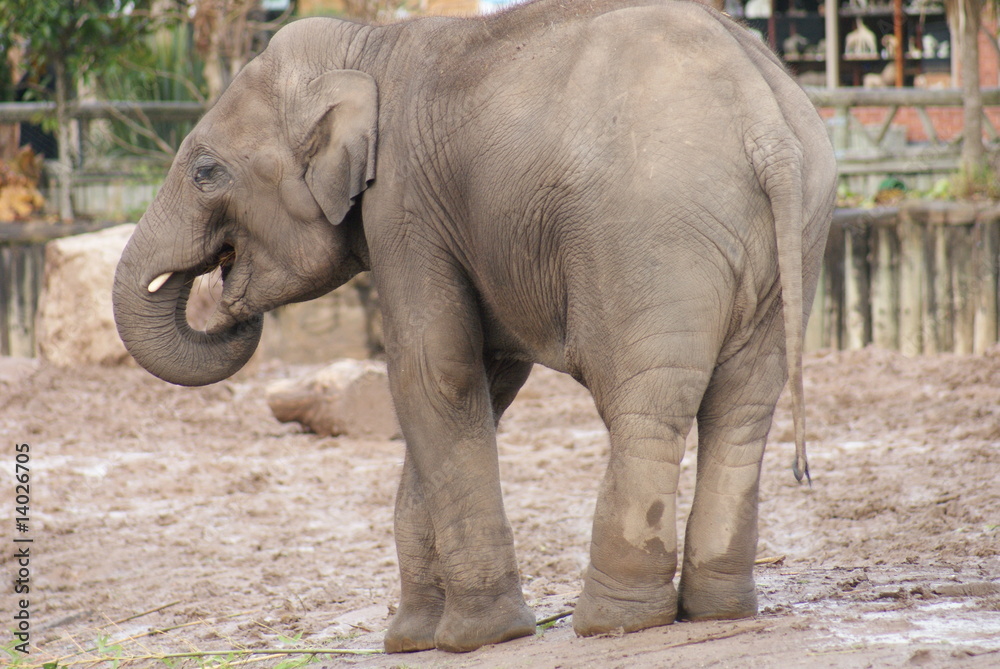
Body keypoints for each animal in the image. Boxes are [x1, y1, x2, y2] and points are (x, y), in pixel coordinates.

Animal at [112, 0, 836, 654]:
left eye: (206, 172)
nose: (223, 295)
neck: (365, 47)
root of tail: (765, 122)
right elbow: (488, 376)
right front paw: (410, 640)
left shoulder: (403, 205)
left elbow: (432, 372)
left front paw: (477, 638)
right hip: (796, 234)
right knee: (743, 407)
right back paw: (717, 609)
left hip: (651, 234)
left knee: (645, 406)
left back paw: (613, 621)